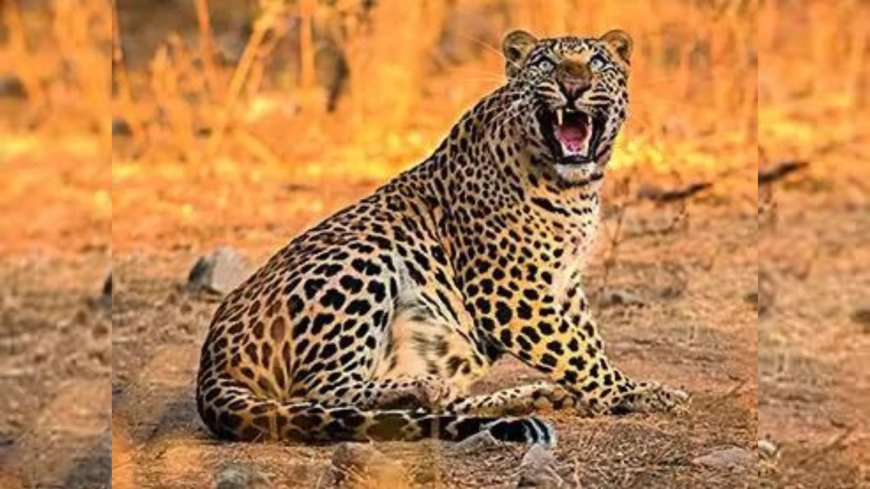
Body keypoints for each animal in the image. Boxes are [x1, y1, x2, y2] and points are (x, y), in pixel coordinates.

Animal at [196, 29, 687, 447]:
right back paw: (423, 388)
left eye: (597, 61)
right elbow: (577, 350)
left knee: (441, 401)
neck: (574, 186)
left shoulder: (564, 283)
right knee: (319, 391)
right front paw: (639, 393)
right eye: (545, 63)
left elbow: (585, 340)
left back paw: (523, 396)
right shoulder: (508, 289)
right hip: (363, 256)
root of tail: (209, 364)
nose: (572, 84)